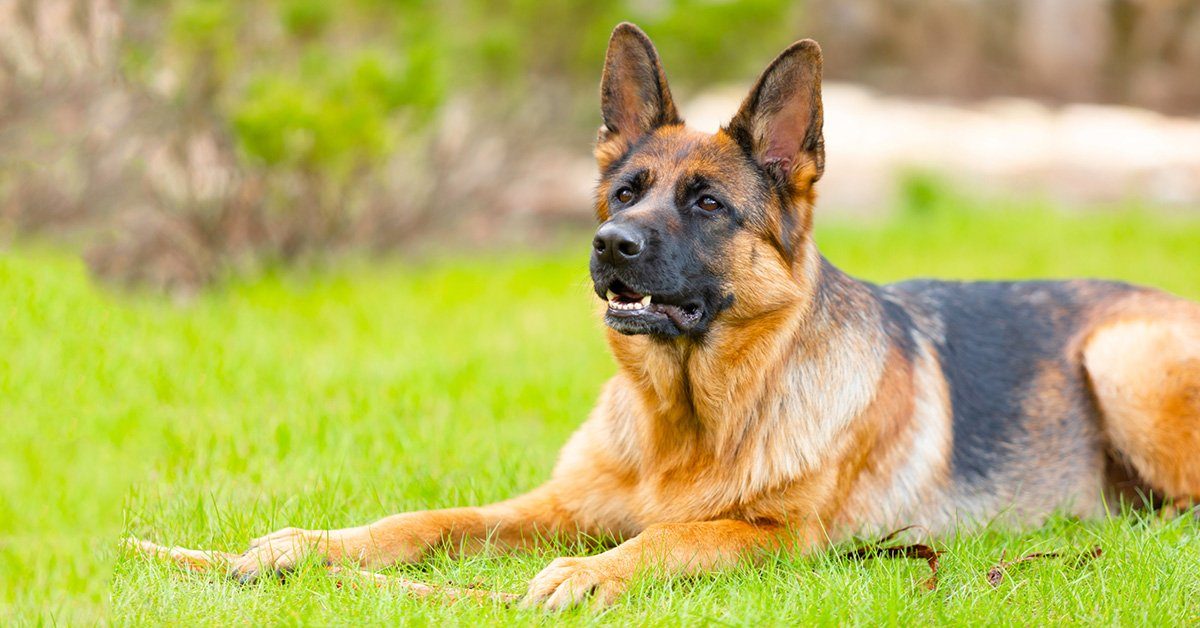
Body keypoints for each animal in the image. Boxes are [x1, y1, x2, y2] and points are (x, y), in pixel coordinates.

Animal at [216, 24, 1200, 609]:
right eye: (626, 192)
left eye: (708, 205)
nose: (610, 244)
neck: (690, 422)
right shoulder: (556, 503)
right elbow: (427, 522)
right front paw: (308, 546)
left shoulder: (776, 539)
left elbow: (670, 540)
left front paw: (586, 575)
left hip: (1123, 358)